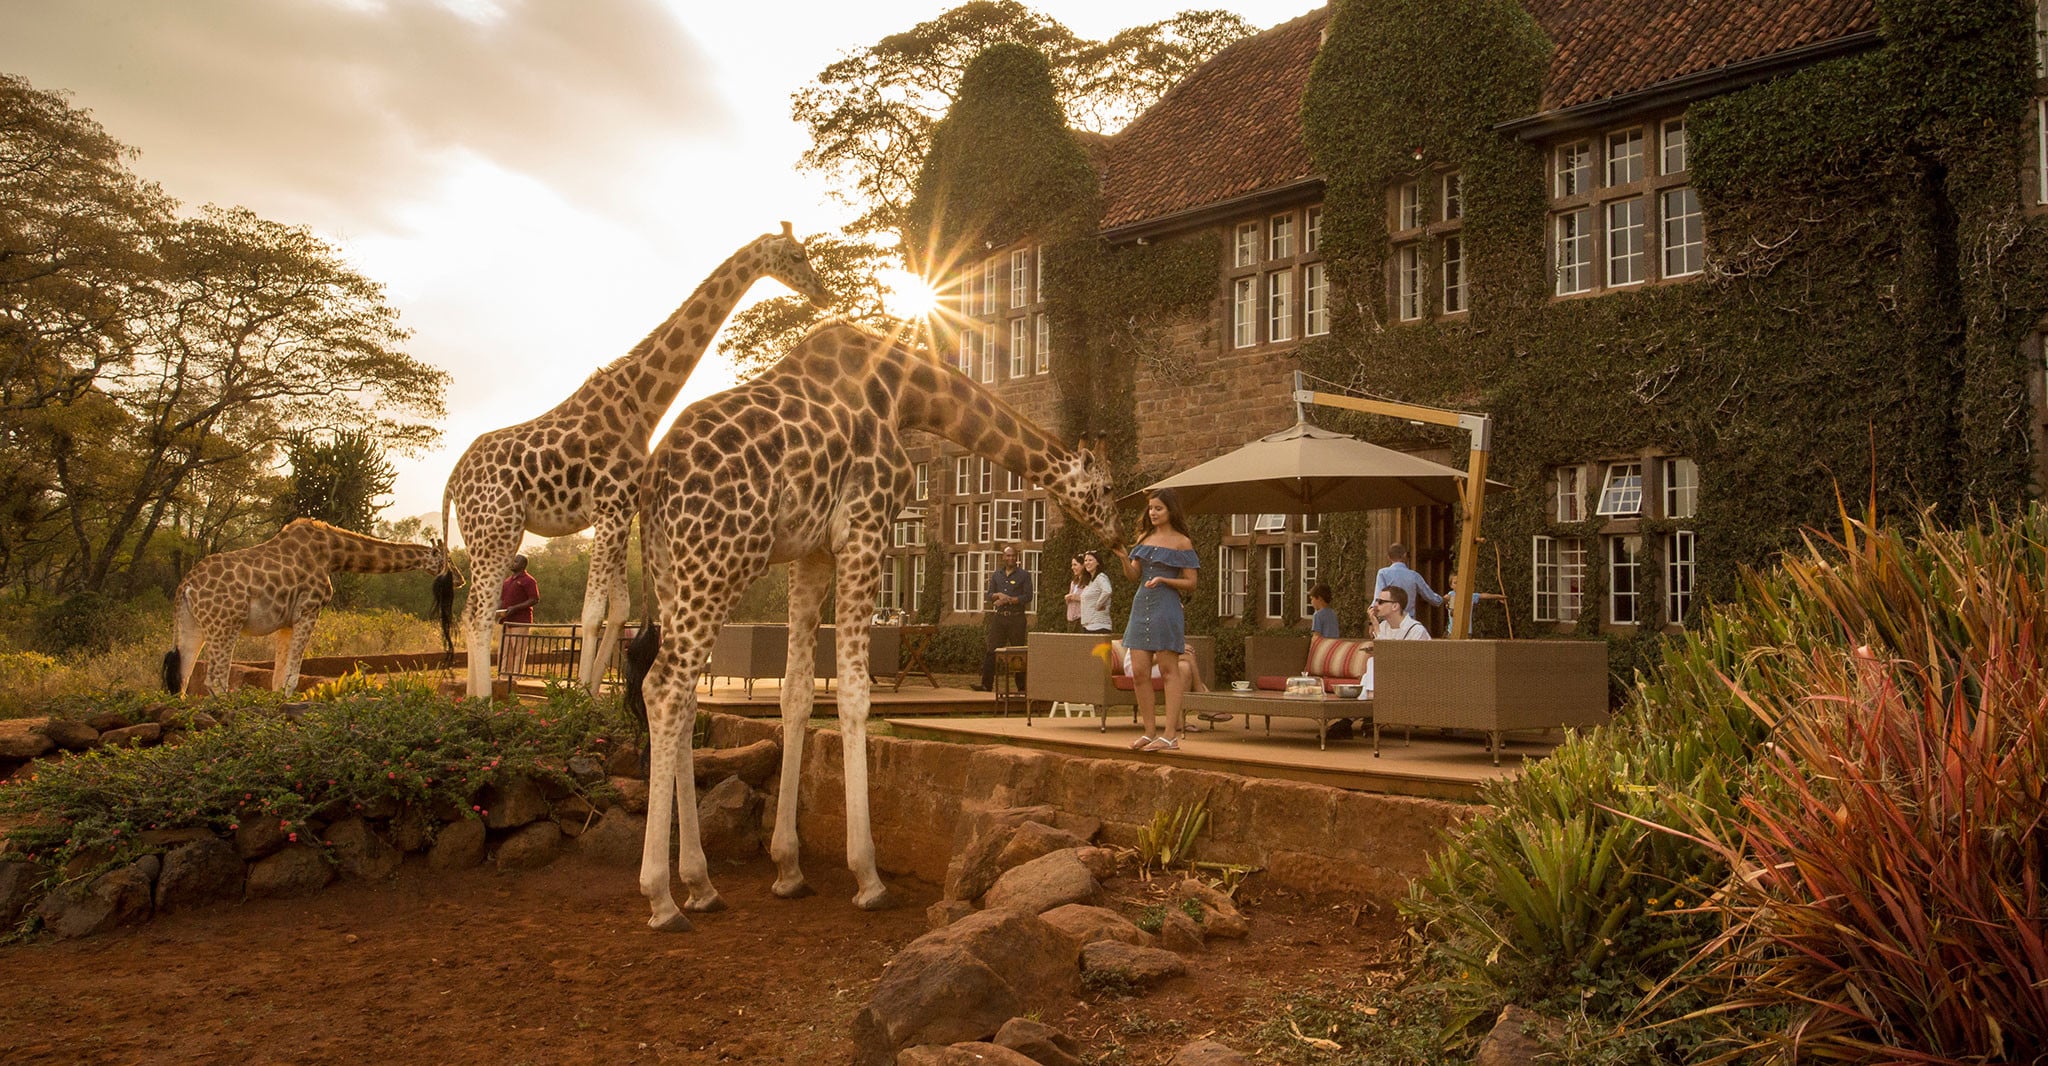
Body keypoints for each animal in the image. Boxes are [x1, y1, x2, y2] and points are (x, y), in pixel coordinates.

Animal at [166, 517, 456, 699]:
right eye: (449, 561)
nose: (462, 579)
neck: (334, 554)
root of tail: (186, 587)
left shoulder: (286, 622)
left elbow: (278, 676)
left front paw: (278, 704)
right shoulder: (309, 609)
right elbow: (292, 675)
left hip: (192, 626)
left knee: (182, 678)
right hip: (225, 624)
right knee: (214, 678)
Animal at [444, 221, 835, 699]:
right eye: (798, 256)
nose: (822, 293)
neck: (641, 405)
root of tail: (452, 480)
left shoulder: (620, 509)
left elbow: (618, 610)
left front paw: (591, 696)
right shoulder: (609, 507)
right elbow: (592, 612)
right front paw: (576, 697)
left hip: (491, 531)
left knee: (471, 611)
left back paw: (470, 698)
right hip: (496, 526)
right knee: (481, 613)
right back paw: (483, 702)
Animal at [630, 319, 1130, 924]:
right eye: (1107, 488)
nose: (1122, 539)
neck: (906, 392)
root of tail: (654, 475)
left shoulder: (813, 553)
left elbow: (797, 694)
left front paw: (788, 868)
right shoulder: (865, 530)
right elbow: (853, 694)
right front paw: (868, 877)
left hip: (671, 571)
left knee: (683, 697)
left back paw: (701, 884)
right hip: (722, 558)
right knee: (664, 687)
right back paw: (661, 897)